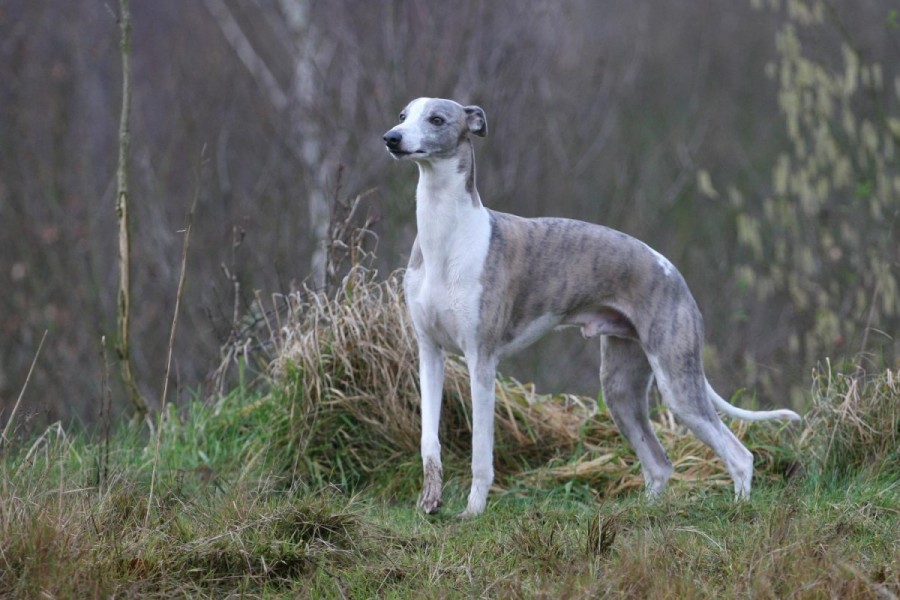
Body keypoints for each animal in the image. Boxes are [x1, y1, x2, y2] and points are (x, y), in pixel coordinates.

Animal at [384, 97, 800, 516]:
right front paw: (430, 501)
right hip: (621, 387)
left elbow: (481, 453)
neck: (448, 238)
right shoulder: (429, 352)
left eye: (437, 119)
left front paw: (472, 513)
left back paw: (740, 509)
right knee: (659, 464)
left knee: (738, 455)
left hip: (677, 382)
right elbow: (428, 440)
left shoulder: (481, 360)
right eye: (404, 115)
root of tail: (673, 274)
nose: (391, 138)